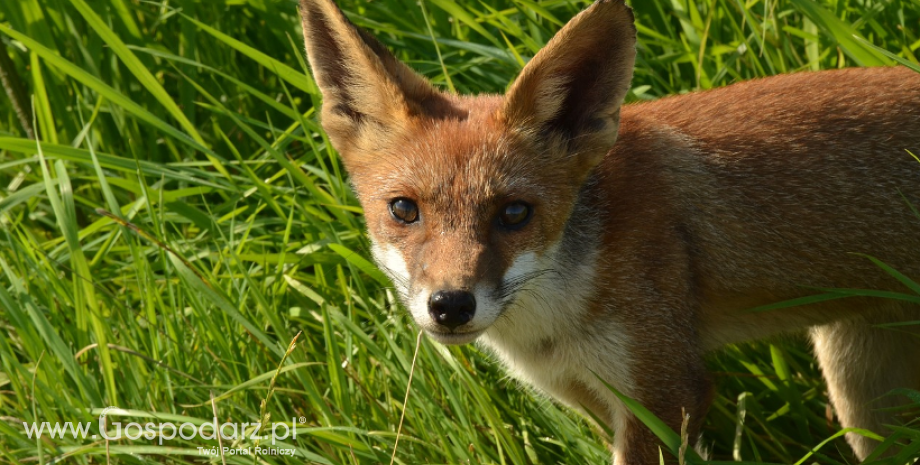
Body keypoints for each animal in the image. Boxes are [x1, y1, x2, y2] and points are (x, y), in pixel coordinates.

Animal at [296, 0, 920, 458]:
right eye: (404, 210)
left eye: (514, 213)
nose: (450, 305)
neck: (556, 317)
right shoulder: (588, 393)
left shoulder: (665, 392)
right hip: (859, 387)